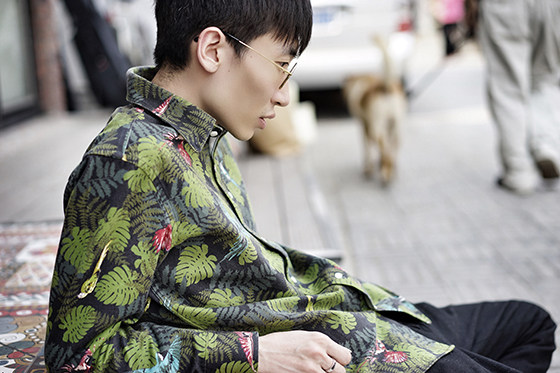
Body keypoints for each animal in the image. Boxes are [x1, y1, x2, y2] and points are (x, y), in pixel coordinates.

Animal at [342, 36, 406, 185]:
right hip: (396, 128)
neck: (362, 79)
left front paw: (369, 168)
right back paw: (391, 170)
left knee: (385, 151)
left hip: (377, 129)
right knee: (392, 149)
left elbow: (367, 148)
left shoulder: (365, 125)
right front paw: (378, 164)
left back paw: (385, 175)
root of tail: (385, 86)